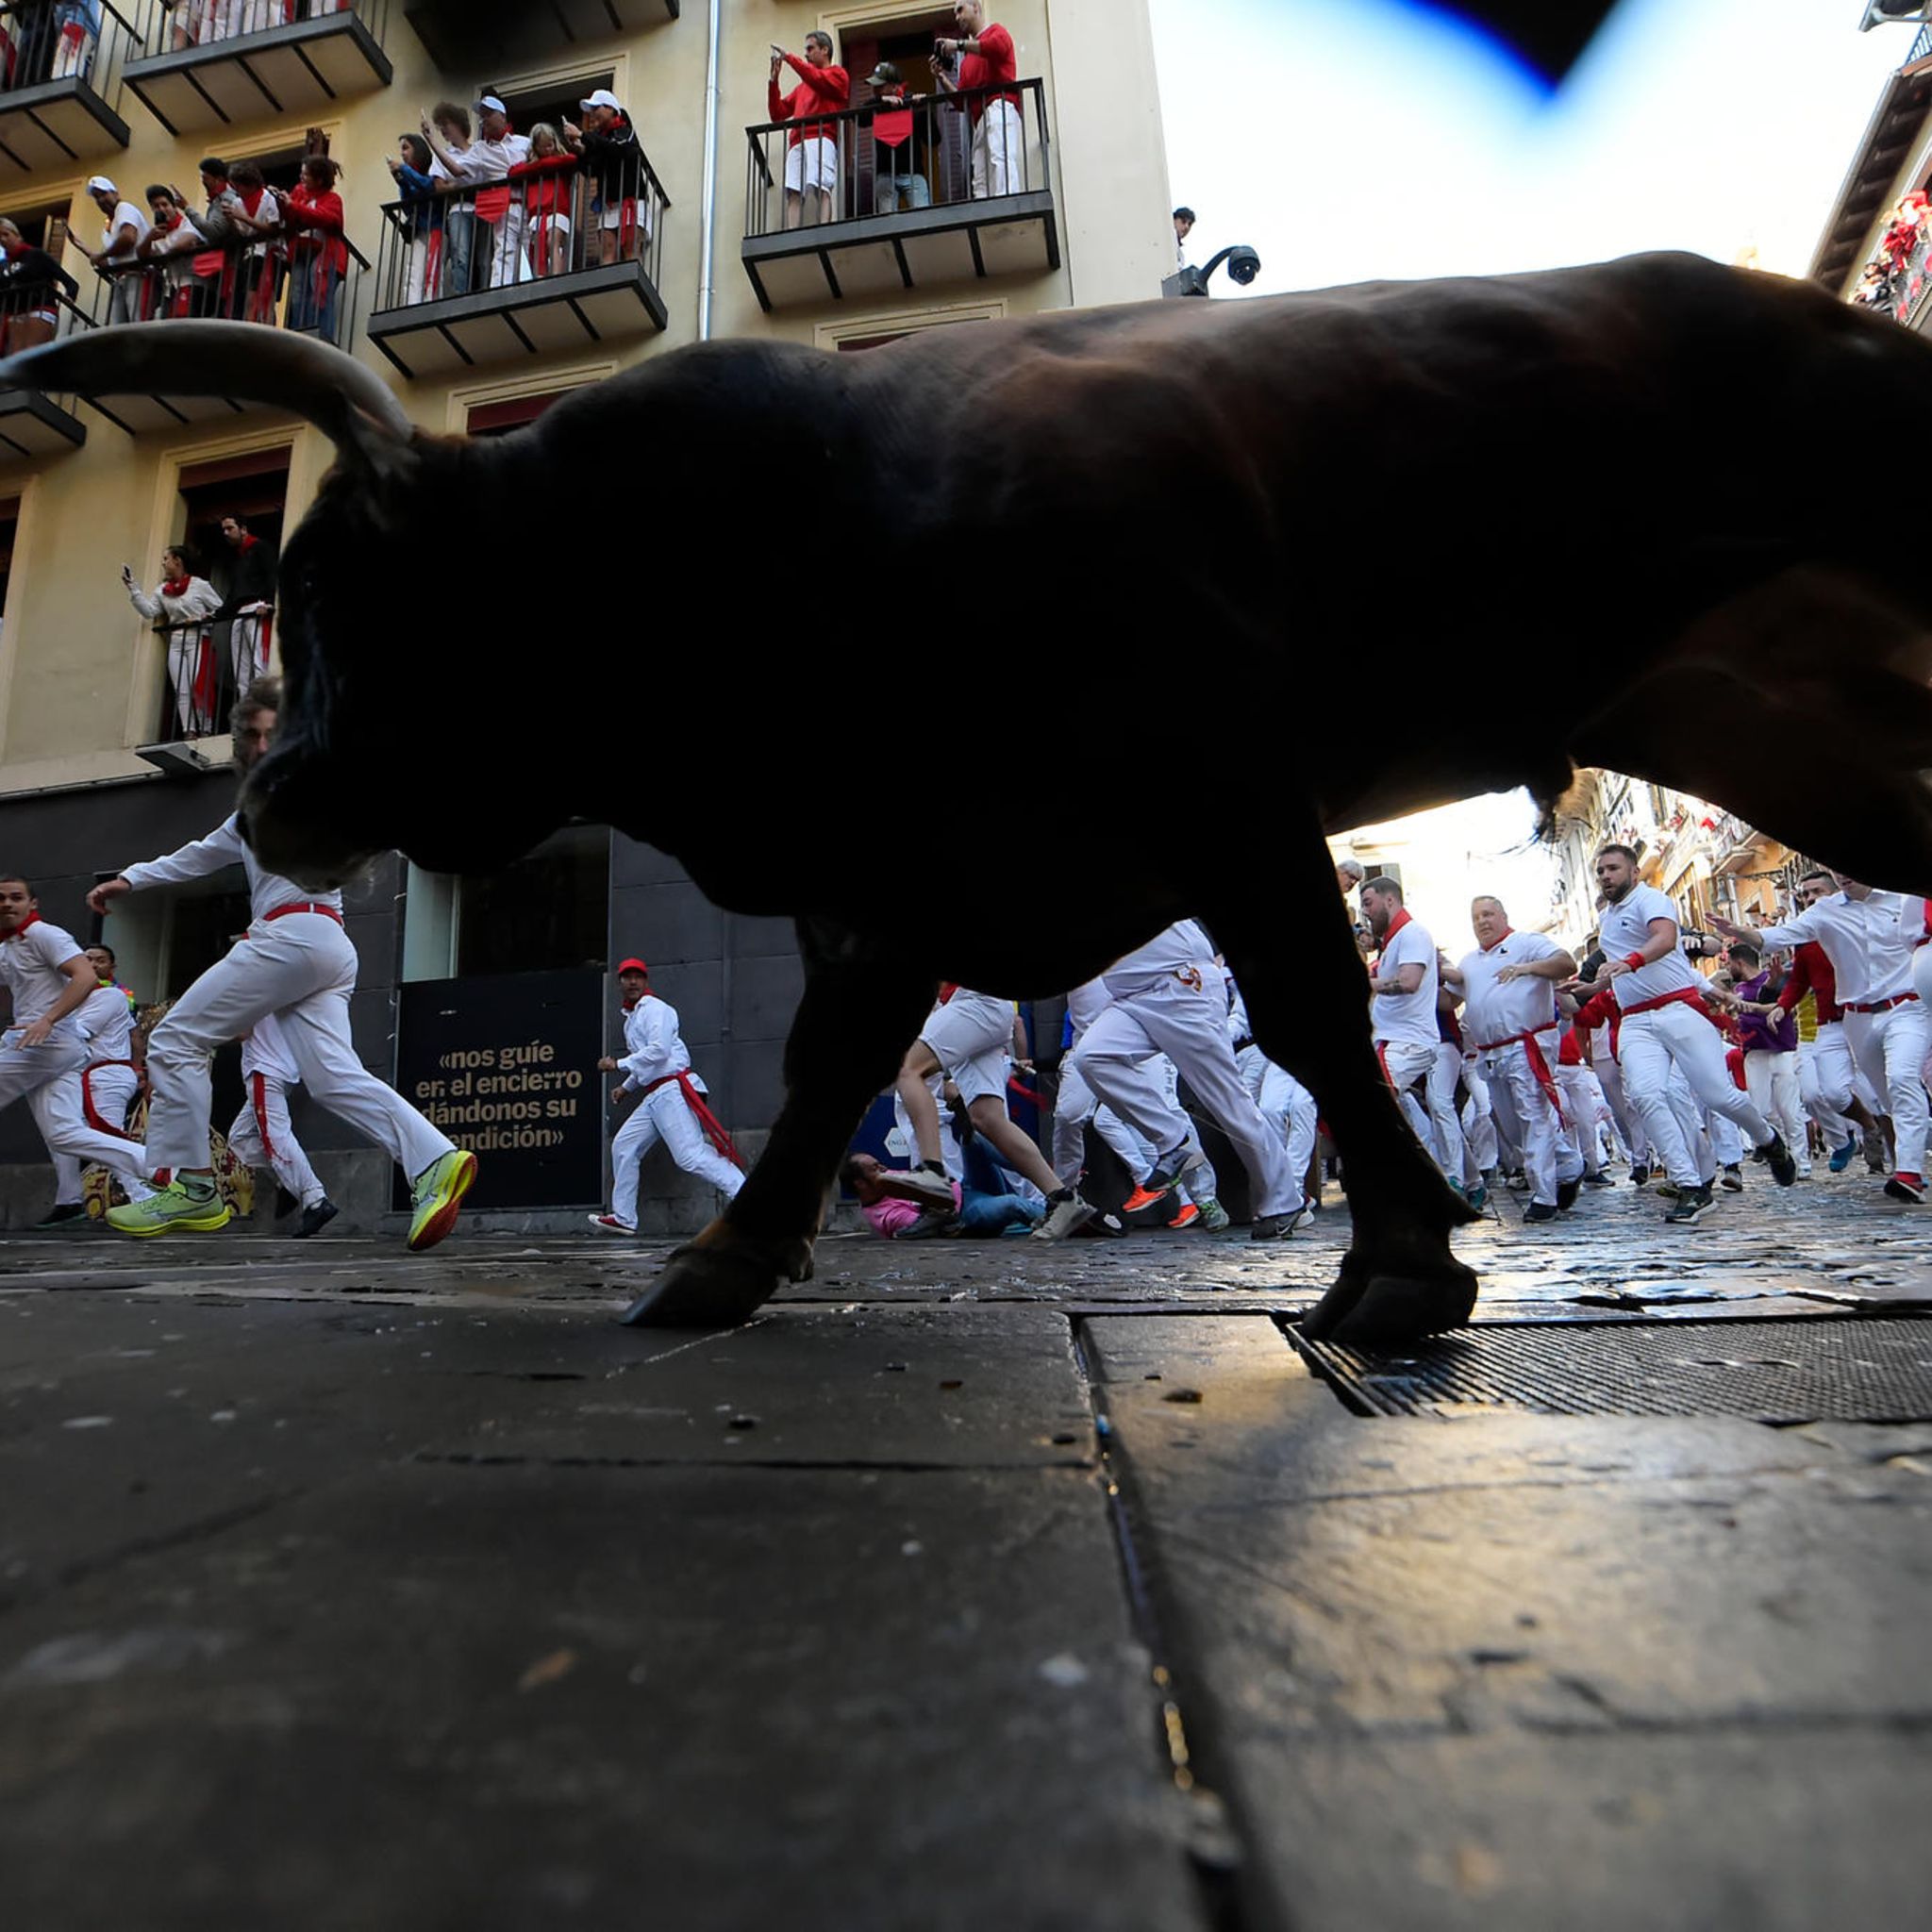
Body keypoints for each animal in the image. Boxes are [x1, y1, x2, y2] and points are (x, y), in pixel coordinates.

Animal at [8, 253, 1924, 1344]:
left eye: (334, 589)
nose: (277, 797)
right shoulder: (902, 876)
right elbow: (827, 1064)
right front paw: (729, 1261)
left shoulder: (1225, 794)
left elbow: (1315, 1019)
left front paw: (1395, 1262)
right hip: (1814, 734)